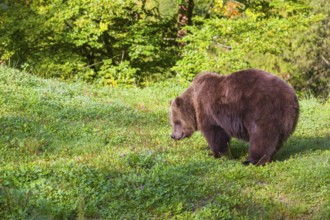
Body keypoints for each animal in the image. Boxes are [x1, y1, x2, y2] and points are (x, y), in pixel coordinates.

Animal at [170, 69, 300, 165]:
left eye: (176, 122)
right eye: (172, 122)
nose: (173, 136)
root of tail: (291, 95)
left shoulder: (208, 109)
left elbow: (215, 133)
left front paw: (217, 154)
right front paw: (210, 150)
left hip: (263, 109)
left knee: (261, 135)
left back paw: (251, 160)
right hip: (285, 119)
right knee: (277, 140)